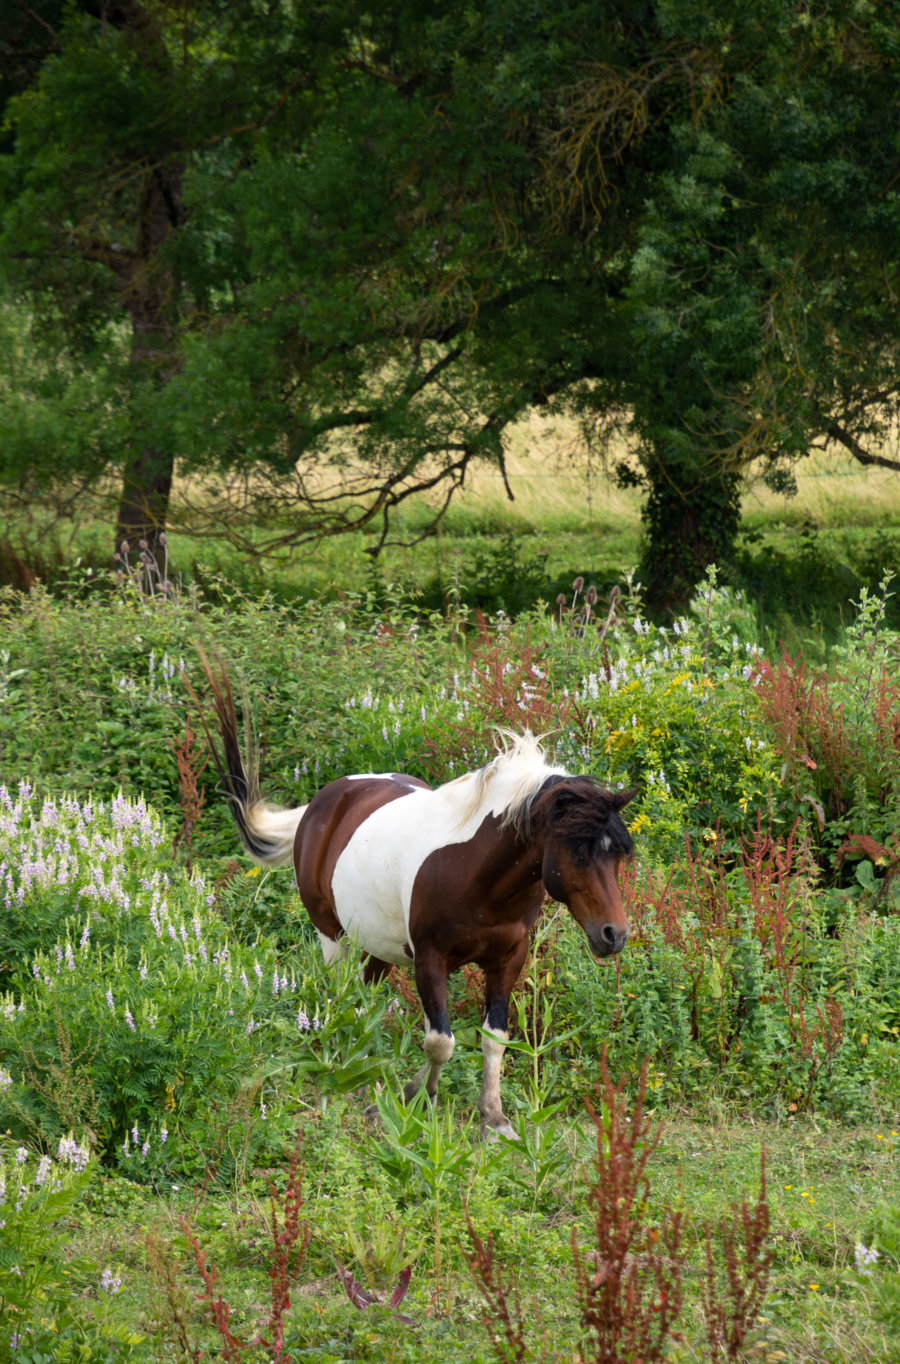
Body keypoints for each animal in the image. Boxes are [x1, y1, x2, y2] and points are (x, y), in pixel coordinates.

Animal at [193, 654, 635, 1134]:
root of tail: (324, 801)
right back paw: (342, 1076)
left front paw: (493, 1118)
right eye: (579, 852)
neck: (478, 875)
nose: (614, 935)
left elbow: (493, 1039)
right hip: (332, 937)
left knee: (364, 1006)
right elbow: (440, 1041)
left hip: (376, 949)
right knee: (341, 1002)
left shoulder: (507, 960)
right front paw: (414, 1097)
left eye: (618, 855)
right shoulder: (431, 959)